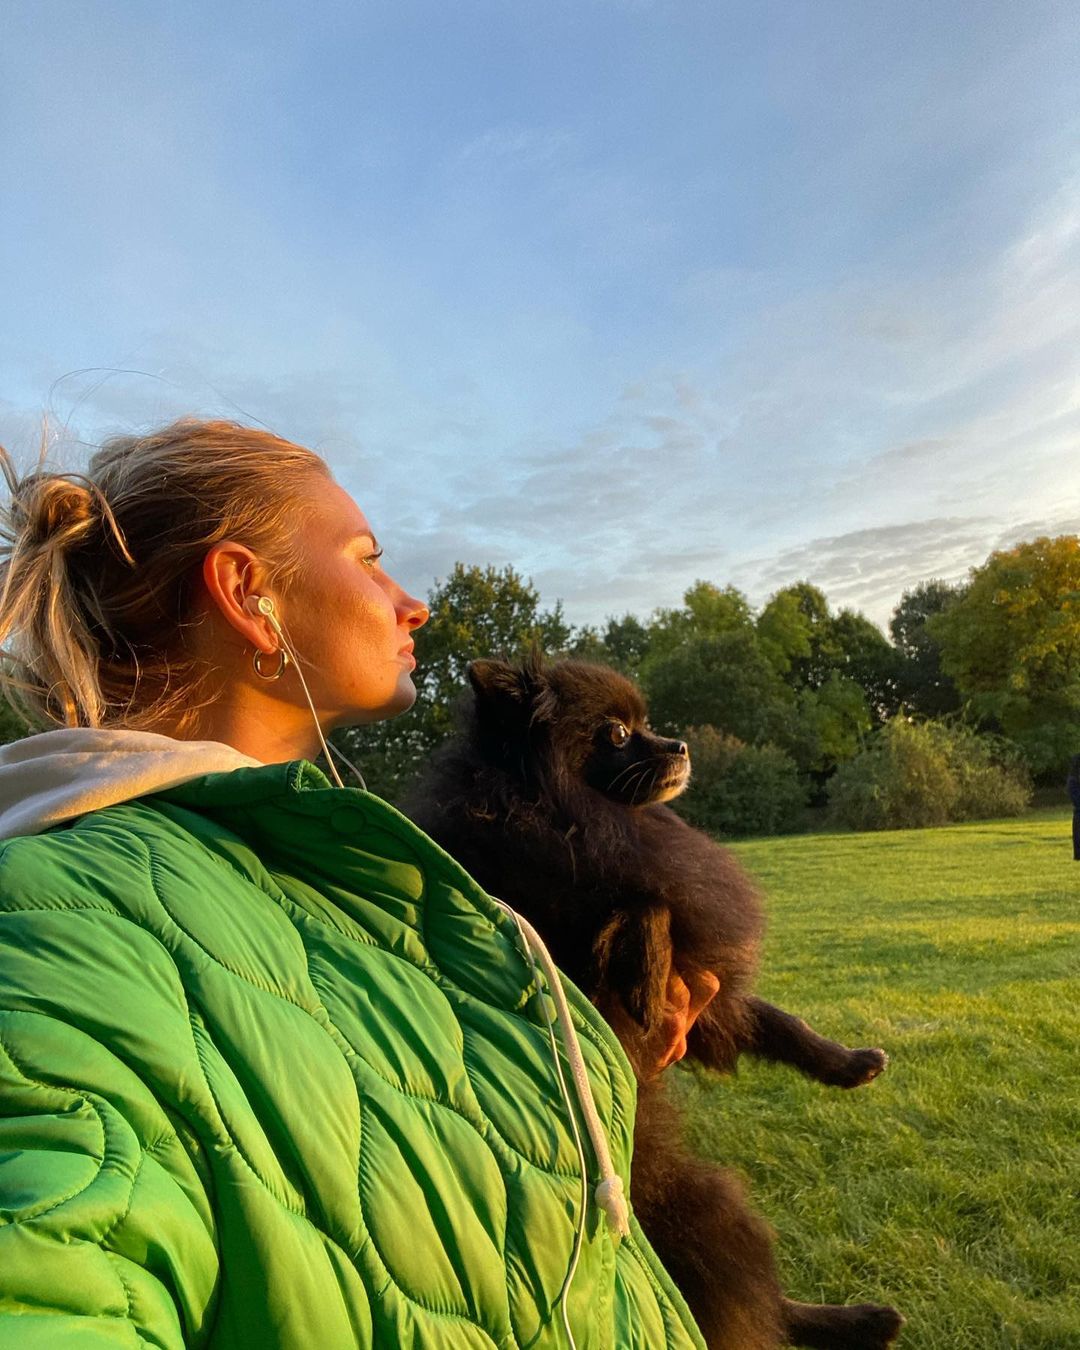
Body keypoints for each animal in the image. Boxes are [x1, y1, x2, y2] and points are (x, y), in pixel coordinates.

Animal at [405, 656, 903, 1349]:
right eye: (617, 733)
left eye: (647, 723)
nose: (681, 745)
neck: (561, 813)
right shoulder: (577, 965)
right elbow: (647, 900)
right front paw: (646, 967)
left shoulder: (701, 993)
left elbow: (775, 1018)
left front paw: (847, 1063)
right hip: (706, 1210)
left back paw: (859, 1320)